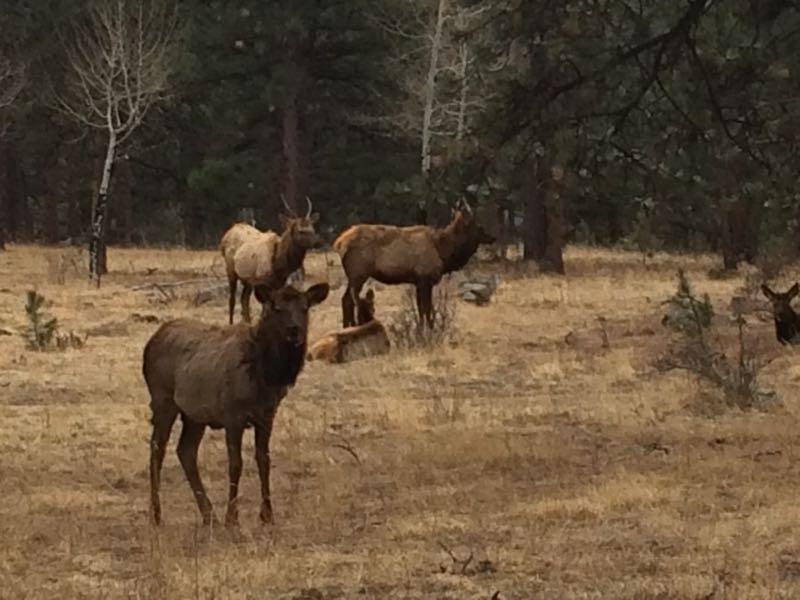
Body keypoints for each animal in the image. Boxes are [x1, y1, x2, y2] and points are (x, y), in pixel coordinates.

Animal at [143, 282, 330, 527]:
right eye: (276, 308)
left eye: (305, 307)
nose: (294, 330)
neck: (264, 375)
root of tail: (149, 343)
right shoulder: (232, 416)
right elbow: (235, 464)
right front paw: (232, 518)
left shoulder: (267, 415)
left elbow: (264, 460)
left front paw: (267, 515)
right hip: (163, 400)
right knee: (157, 449)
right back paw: (156, 514)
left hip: (194, 415)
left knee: (186, 451)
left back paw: (208, 515)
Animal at [220, 196, 320, 324]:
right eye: (300, 231)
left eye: (312, 228)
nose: (318, 242)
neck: (279, 265)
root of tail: (227, 234)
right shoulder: (263, 279)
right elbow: (265, 308)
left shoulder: (279, 283)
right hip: (230, 270)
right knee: (232, 298)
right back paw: (231, 323)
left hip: (248, 279)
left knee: (244, 299)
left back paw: (248, 322)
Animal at [333, 199, 494, 328]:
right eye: (478, 226)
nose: (492, 237)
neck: (443, 252)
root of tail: (339, 243)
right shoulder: (425, 278)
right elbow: (426, 308)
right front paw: (429, 330)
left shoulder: (417, 281)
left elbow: (420, 309)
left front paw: (421, 329)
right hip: (358, 273)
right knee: (348, 299)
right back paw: (351, 327)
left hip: (353, 275)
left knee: (345, 299)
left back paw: (346, 327)